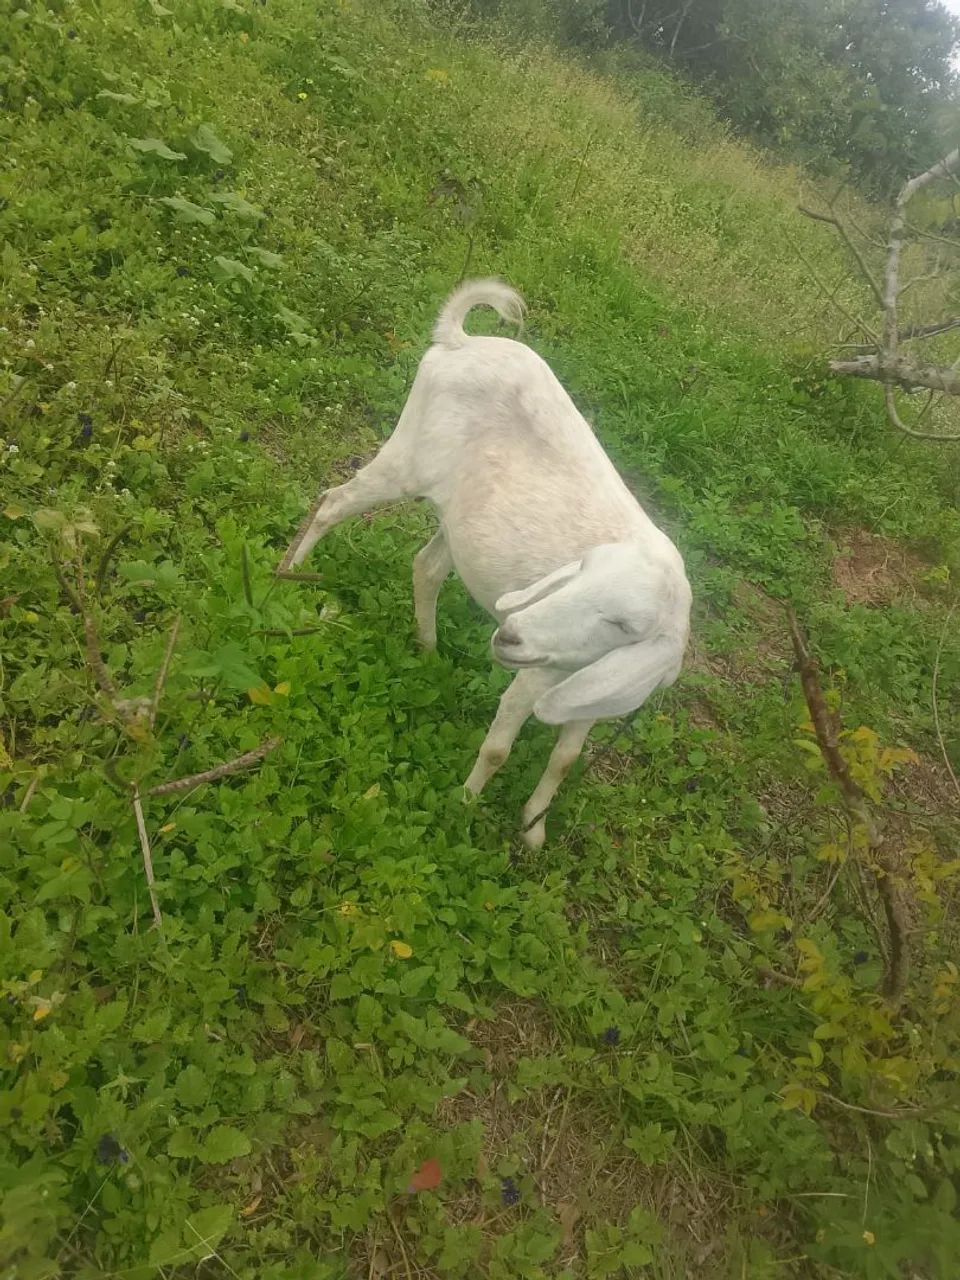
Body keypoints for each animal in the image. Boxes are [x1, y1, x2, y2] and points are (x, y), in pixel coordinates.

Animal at [278, 280, 692, 846]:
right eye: (579, 573)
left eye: (625, 625)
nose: (510, 635)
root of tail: (459, 340)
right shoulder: (535, 676)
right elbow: (498, 748)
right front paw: (463, 806)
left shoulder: (593, 693)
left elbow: (565, 760)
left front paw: (534, 829)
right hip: (406, 458)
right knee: (332, 502)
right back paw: (285, 576)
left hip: (458, 519)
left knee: (426, 566)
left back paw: (427, 650)